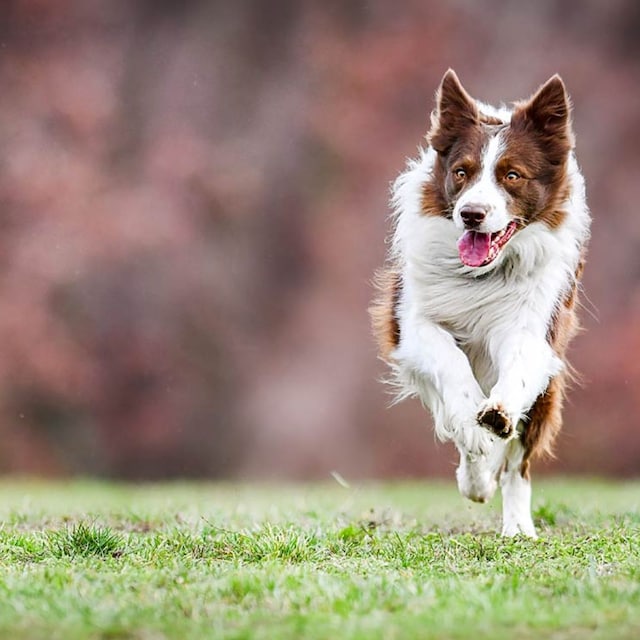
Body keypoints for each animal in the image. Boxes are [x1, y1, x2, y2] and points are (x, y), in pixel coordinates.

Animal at [370, 70, 592, 536]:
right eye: (461, 172)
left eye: (512, 175)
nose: (471, 213)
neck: (483, 275)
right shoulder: (412, 325)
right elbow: (450, 362)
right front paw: (474, 426)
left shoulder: (534, 328)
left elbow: (518, 373)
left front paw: (496, 413)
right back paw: (476, 473)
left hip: (547, 394)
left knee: (517, 466)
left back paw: (517, 525)